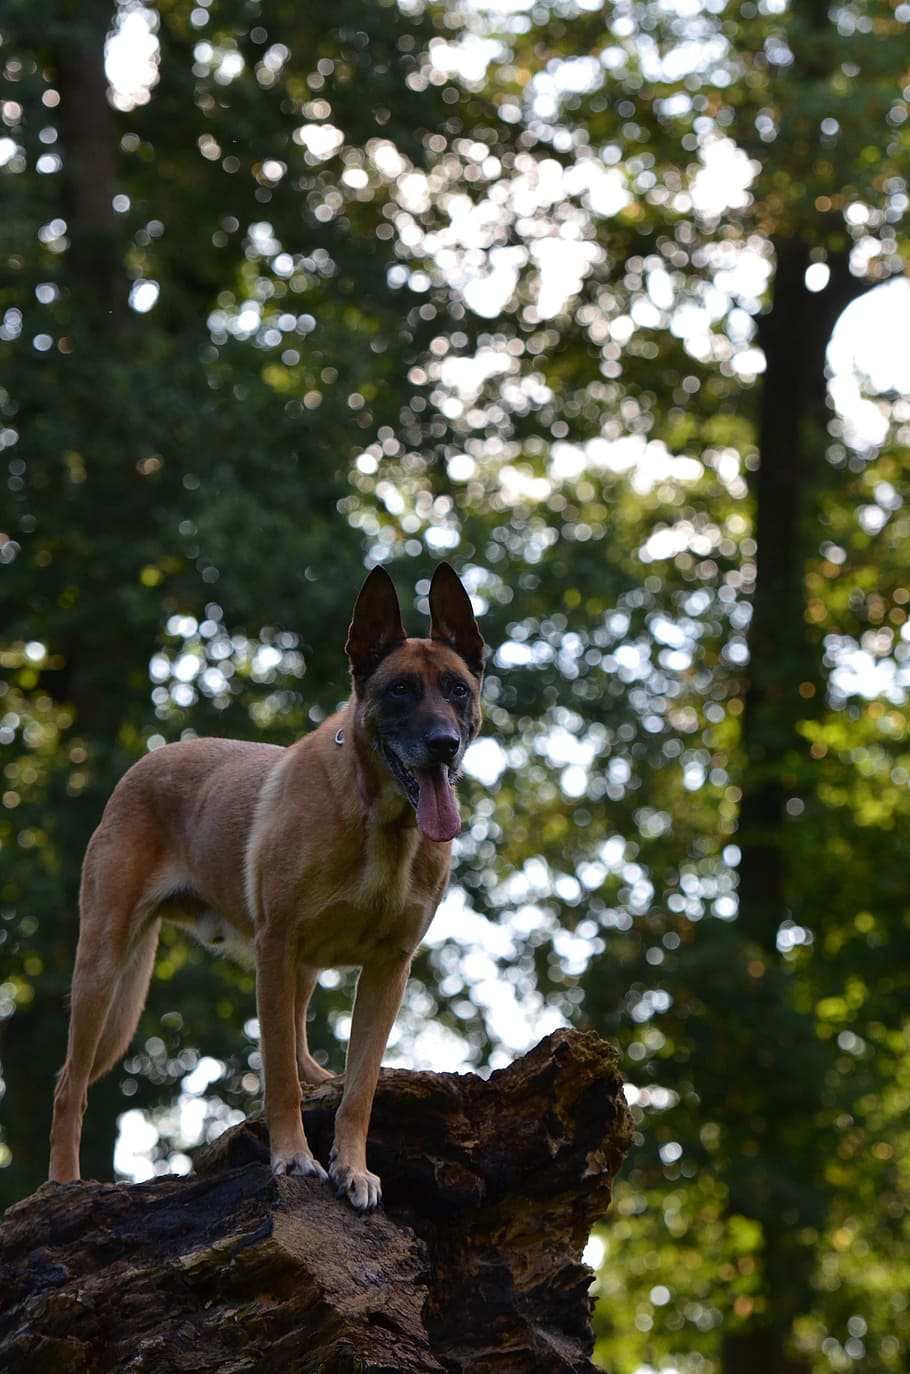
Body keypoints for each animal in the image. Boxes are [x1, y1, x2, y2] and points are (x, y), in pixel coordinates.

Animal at [49, 557, 483, 1203]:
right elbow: (276, 1074)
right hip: (103, 967)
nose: (443, 746)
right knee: (68, 1087)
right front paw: (293, 1157)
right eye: (400, 689)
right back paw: (61, 1183)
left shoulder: (388, 968)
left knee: (305, 1049)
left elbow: (361, 1087)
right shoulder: (276, 946)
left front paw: (353, 1168)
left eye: (457, 689)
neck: (379, 821)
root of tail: (143, 763)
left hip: (293, 968)